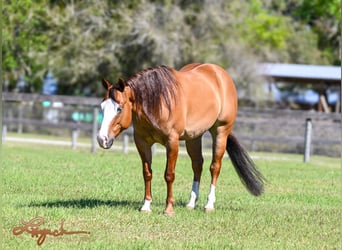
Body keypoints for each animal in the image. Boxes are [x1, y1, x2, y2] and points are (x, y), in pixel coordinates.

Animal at [97, 62, 266, 215]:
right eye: (102, 107)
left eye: (119, 108)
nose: (101, 139)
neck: (158, 102)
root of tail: (219, 73)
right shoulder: (142, 143)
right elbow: (147, 173)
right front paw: (146, 206)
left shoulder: (172, 142)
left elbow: (169, 175)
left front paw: (168, 209)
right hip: (194, 138)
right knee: (197, 165)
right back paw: (191, 203)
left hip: (221, 132)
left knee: (215, 167)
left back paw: (209, 205)